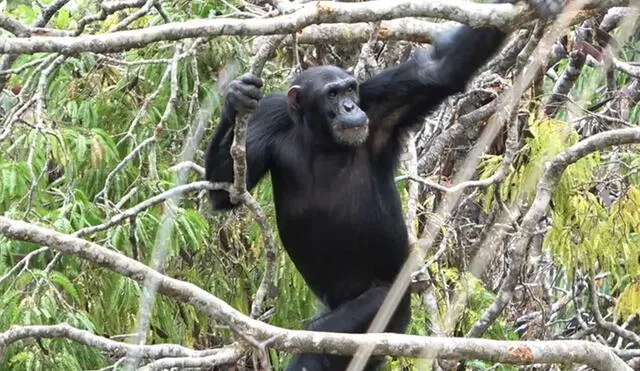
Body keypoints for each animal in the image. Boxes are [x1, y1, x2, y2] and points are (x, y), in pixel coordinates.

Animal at [204, 2, 560, 370]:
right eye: (332, 93)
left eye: (350, 89)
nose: (349, 107)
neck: (319, 137)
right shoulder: (271, 114)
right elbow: (227, 191)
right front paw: (235, 97)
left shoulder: (378, 103)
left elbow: (437, 71)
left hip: (389, 309)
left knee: (320, 341)